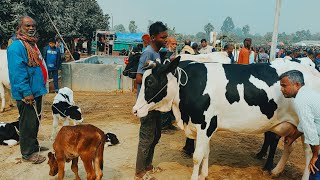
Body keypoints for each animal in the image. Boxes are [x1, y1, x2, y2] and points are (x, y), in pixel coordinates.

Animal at [132, 57, 320, 180]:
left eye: (150, 82)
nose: (135, 110)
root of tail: (313, 70)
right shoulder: (208, 127)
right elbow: (206, 152)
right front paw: (204, 174)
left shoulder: (204, 124)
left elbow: (197, 155)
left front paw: (196, 176)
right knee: (289, 145)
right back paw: (275, 171)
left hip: (306, 124)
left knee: (309, 153)